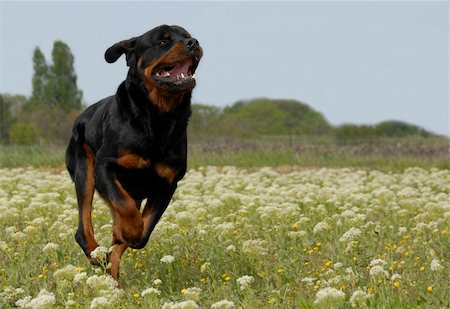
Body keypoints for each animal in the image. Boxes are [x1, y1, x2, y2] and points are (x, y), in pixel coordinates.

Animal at [65, 25, 202, 280]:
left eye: (187, 36)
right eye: (162, 41)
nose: (193, 43)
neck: (159, 116)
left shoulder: (168, 182)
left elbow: (145, 227)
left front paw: (130, 232)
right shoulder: (105, 167)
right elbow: (125, 206)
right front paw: (129, 229)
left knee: (114, 248)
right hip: (84, 171)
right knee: (84, 228)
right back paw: (96, 254)